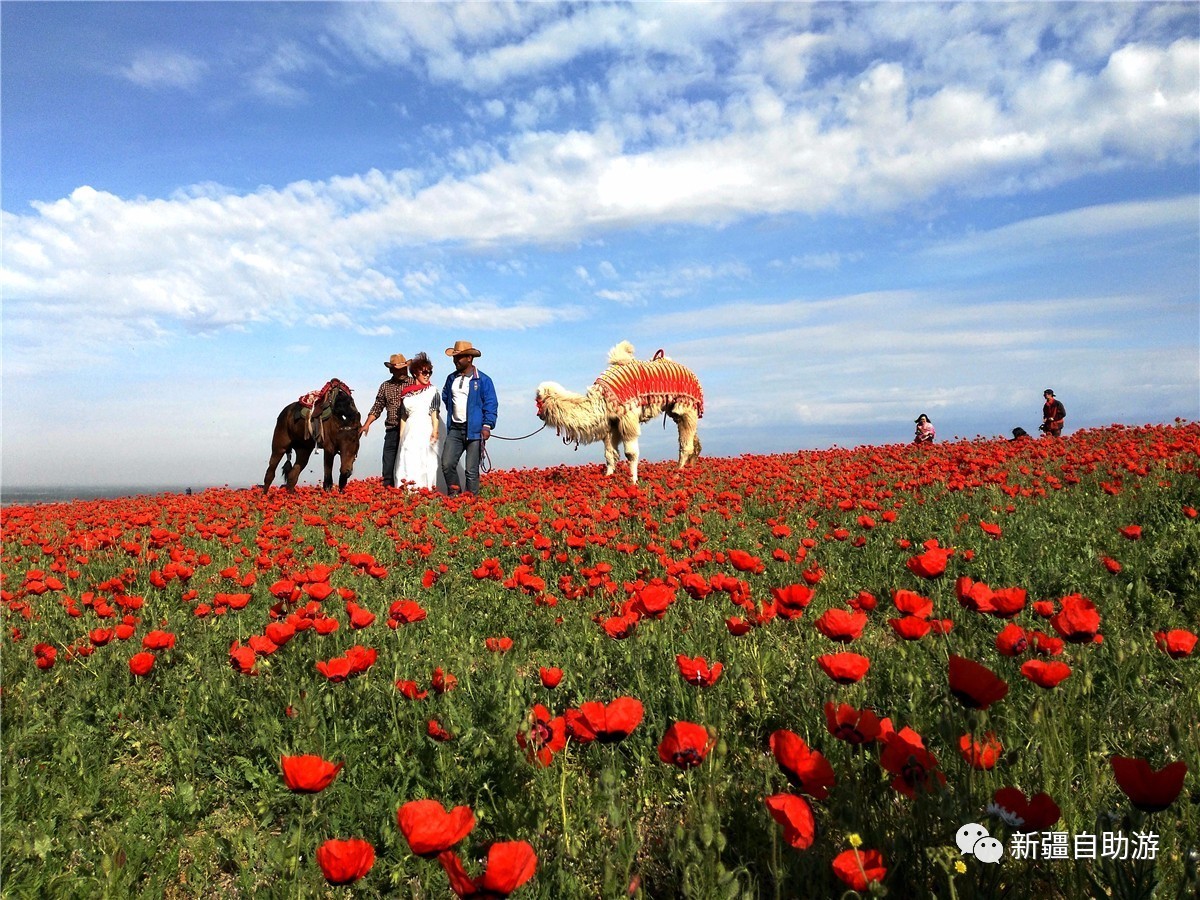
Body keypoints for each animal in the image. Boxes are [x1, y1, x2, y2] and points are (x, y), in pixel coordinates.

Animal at [537, 340, 700, 482]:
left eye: (538, 401)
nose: (538, 415)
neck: (601, 399)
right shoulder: (612, 424)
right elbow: (610, 454)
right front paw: (607, 479)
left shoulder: (628, 417)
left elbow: (630, 454)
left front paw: (633, 481)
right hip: (676, 411)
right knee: (693, 442)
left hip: (688, 408)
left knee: (686, 446)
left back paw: (677, 475)